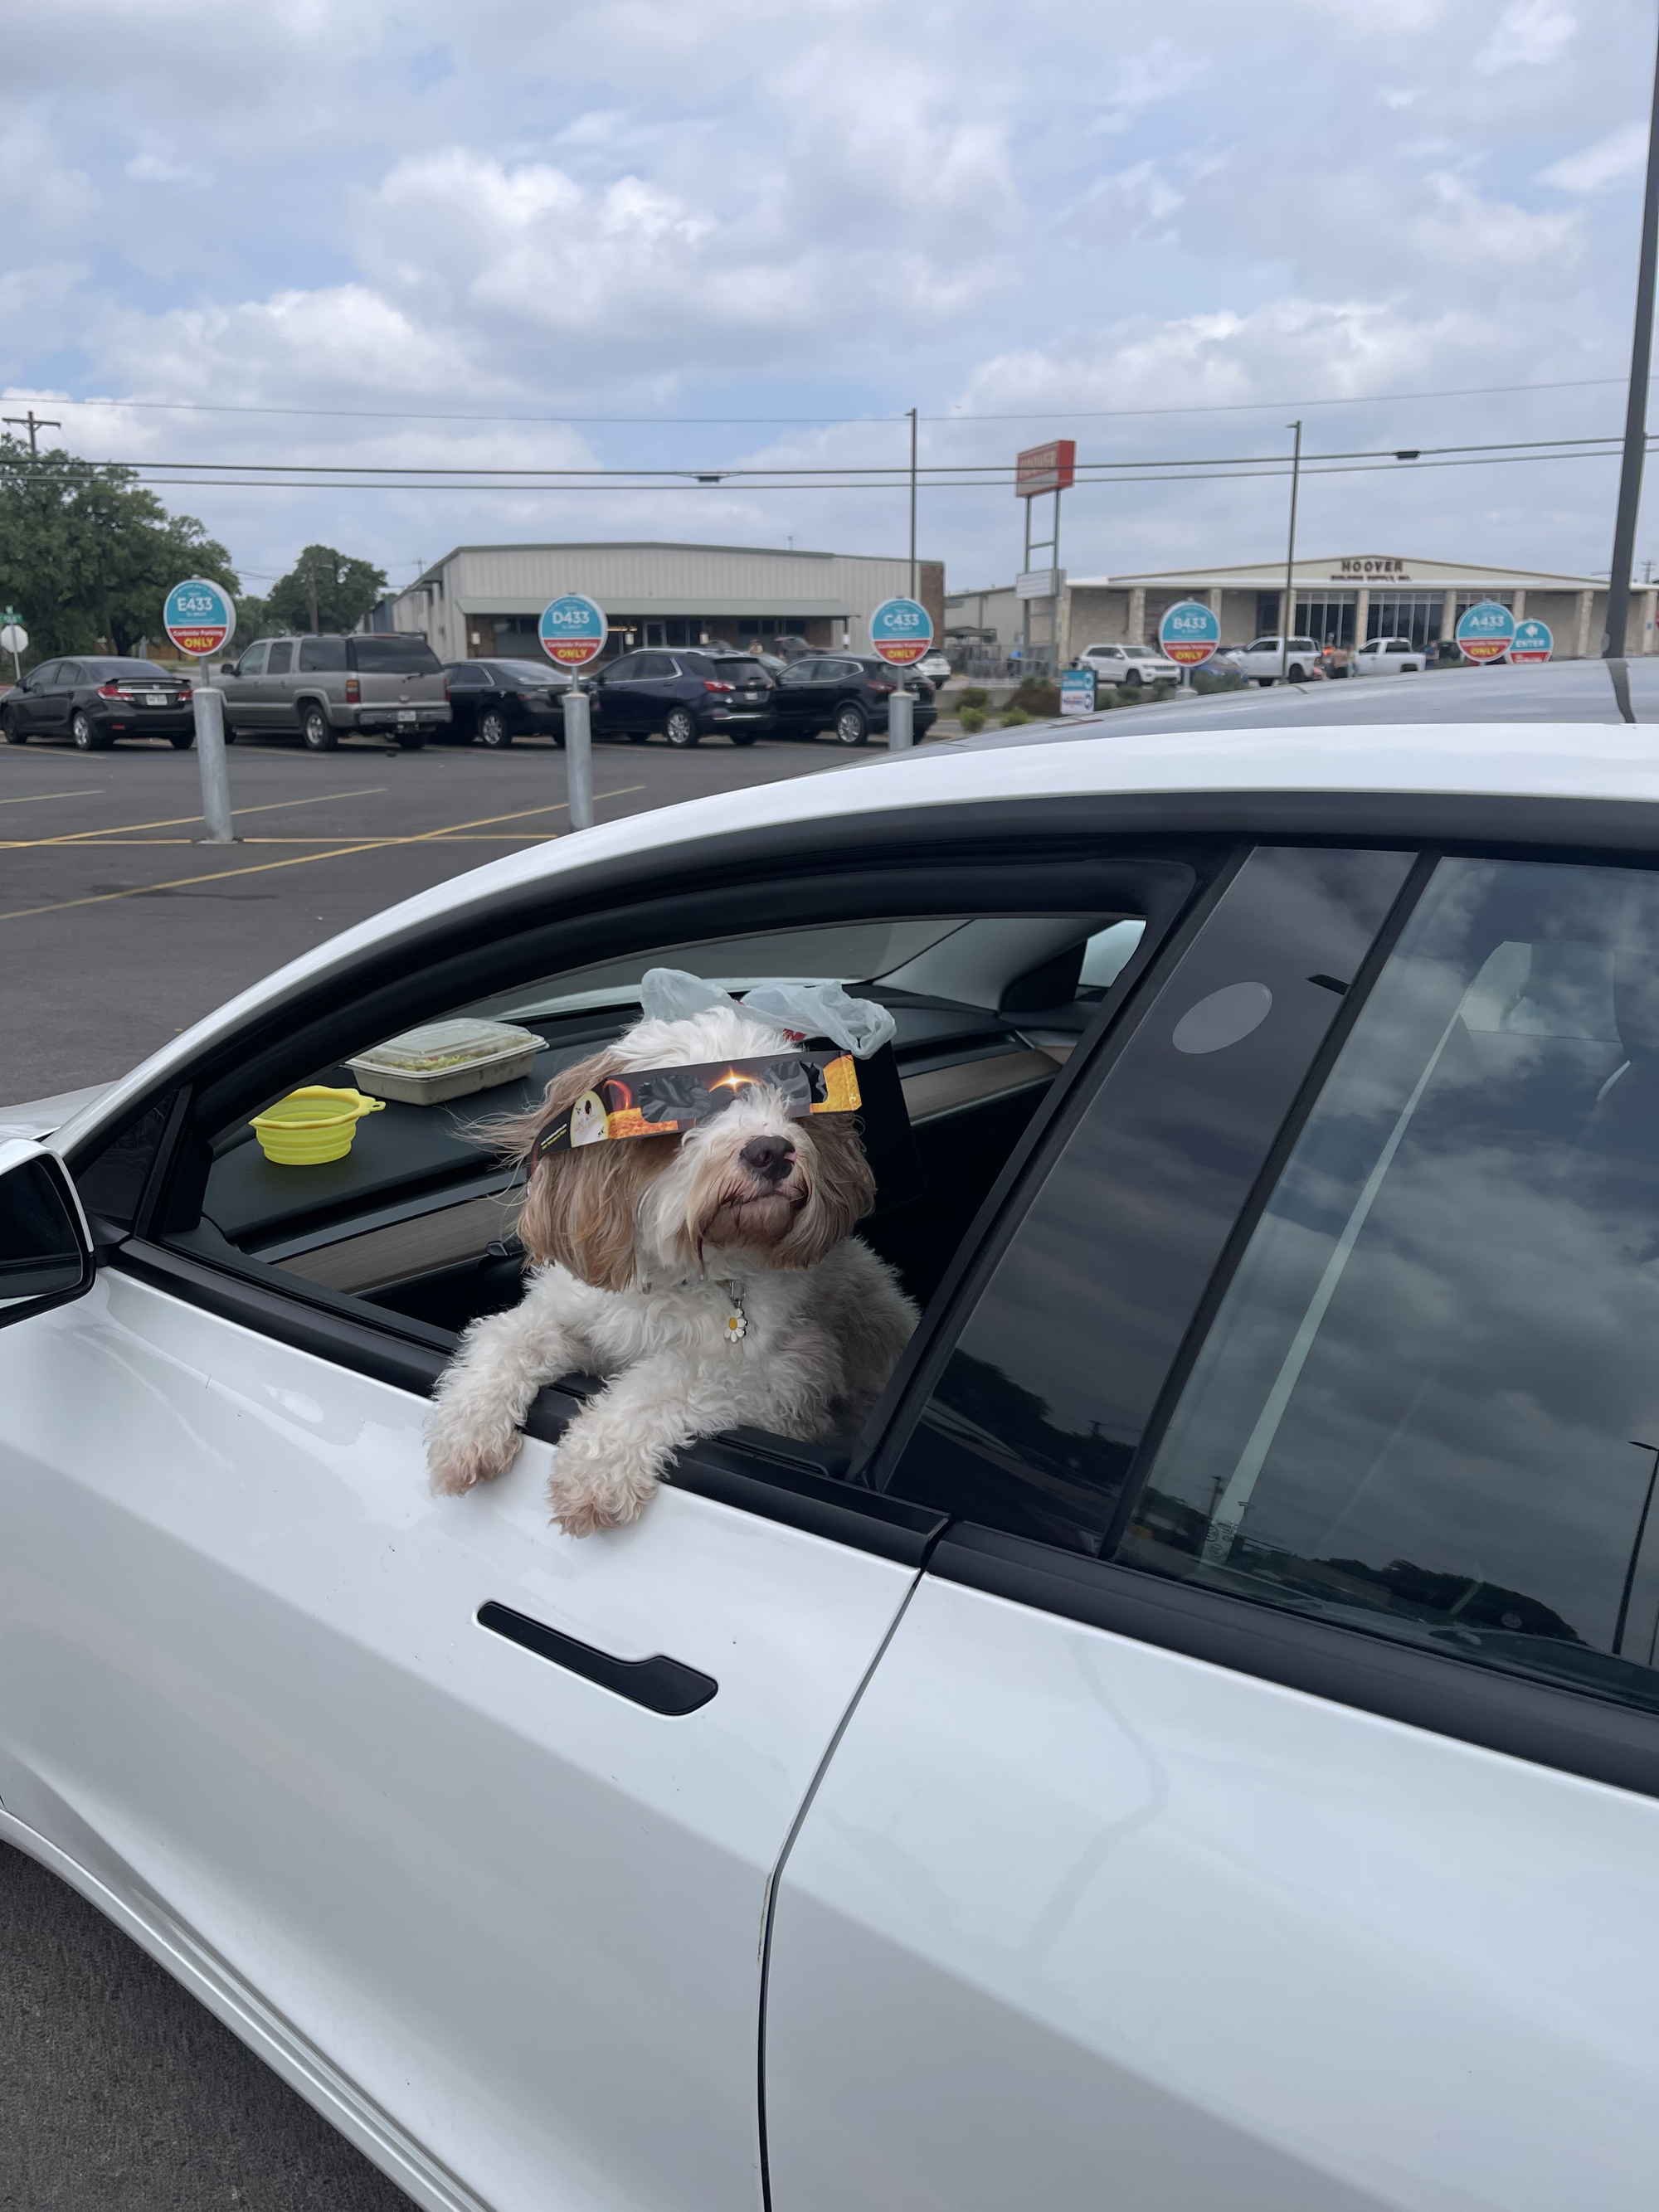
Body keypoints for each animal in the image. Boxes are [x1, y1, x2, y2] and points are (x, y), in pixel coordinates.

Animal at [425, 1004, 924, 1539]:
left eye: (792, 1098)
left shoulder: (789, 1372)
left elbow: (666, 1380)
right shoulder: (574, 1311)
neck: (681, 1272)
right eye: (679, 1104)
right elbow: (507, 1337)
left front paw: (595, 1470)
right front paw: (463, 1432)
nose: (770, 1150)